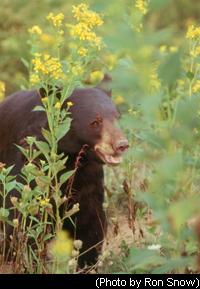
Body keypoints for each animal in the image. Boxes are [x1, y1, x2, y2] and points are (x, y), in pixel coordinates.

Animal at [0, 77, 128, 266]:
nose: (121, 145)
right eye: (95, 122)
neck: (69, 159)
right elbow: (23, 223)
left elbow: (90, 224)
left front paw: (86, 263)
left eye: (117, 117)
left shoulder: (88, 177)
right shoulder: (29, 168)